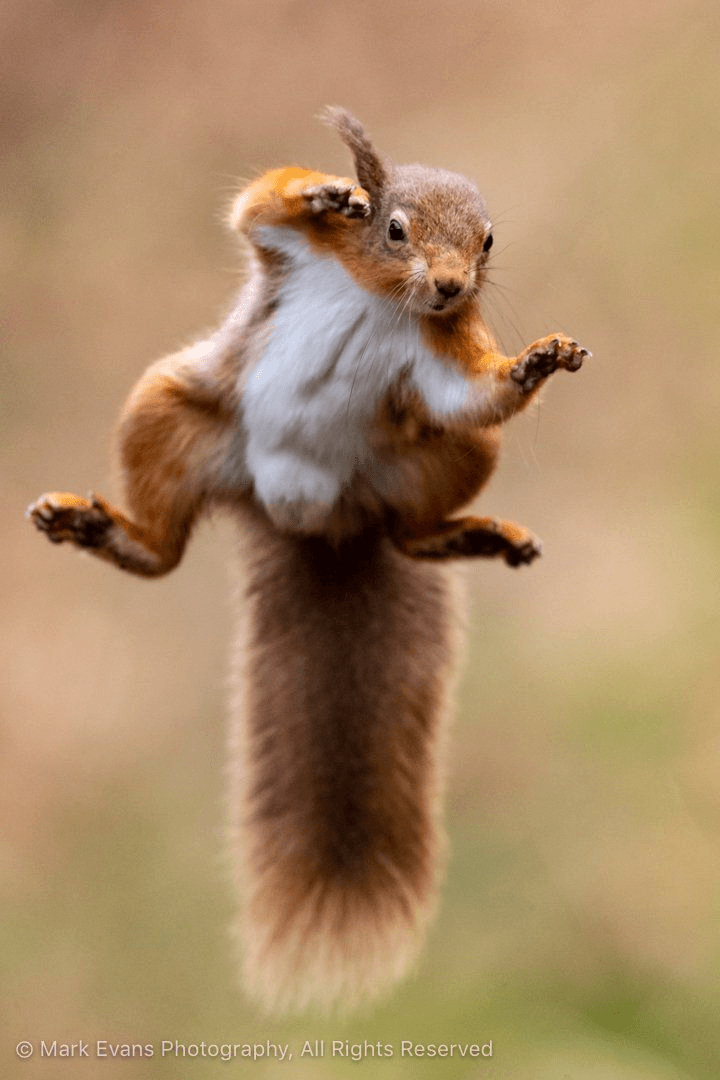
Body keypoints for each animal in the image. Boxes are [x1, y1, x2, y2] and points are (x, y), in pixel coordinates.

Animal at [27, 107, 589, 1014]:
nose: (451, 288)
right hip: (171, 415)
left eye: (489, 241)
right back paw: (105, 531)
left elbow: (476, 393)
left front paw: (535, 360)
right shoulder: (291, 252)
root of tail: (314, 518)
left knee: (411, 527)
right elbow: (255, 209)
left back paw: (467, 536)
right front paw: (326, 190)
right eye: (393, 228)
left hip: (439, 458)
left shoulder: (444, 356)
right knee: (162, 550)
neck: (387, 297)